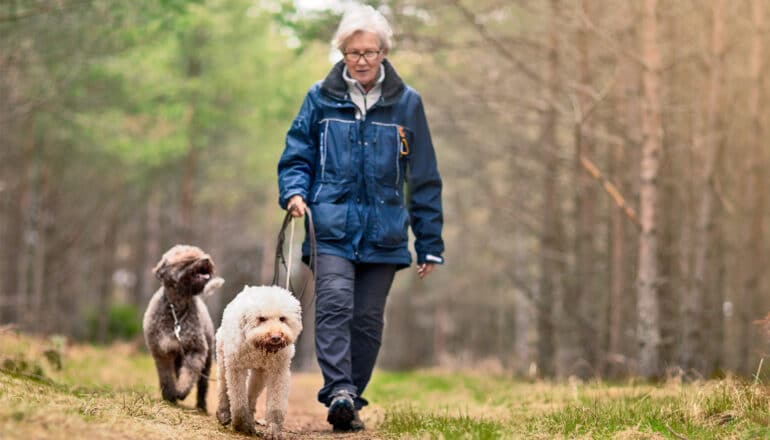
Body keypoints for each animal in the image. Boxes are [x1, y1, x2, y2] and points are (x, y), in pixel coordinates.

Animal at [141, 246, 222, 410]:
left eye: (200, 253)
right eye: (188, 259)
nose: (206, 259)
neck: (176, 312)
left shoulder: (196, 350)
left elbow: (189, 374)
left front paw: (181, 391)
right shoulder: (162, 352)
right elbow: (166, 376)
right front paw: (169, 395)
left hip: (207, 359)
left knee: (202, 385)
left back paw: (201, 405)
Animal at [216, 286, 304, 436]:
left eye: (282, 318)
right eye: (261, 318)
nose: (276, 337)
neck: (259, 347)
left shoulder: (279, 371)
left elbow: (276, 404)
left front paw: (273, 430)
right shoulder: (236, 368)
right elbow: (238, 401)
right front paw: (241, 425)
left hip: (259, 373)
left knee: (252, 394)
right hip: (223, 359)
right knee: (223, 386)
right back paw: (224, 413)